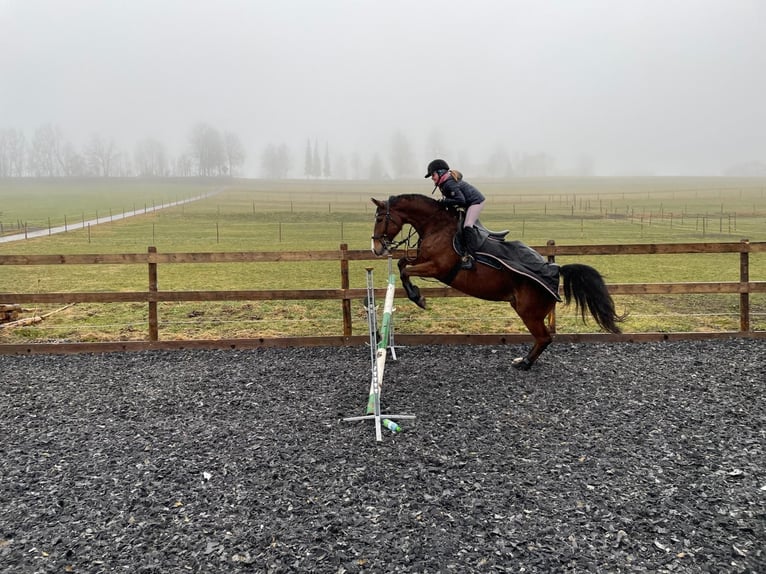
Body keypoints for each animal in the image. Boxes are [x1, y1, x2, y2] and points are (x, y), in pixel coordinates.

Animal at [368, 196, 628, 372]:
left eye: (380, 218)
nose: (376, 248)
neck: (437, 226)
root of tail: (555, 270)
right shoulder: (422, 260)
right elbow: (402, 263)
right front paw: (417, 294)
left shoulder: (438, 267)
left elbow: (405, 270)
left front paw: (418, 297)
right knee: (543, 338)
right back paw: (524, 360)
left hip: (529, 312)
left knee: (545, 338)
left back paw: (524, 363)